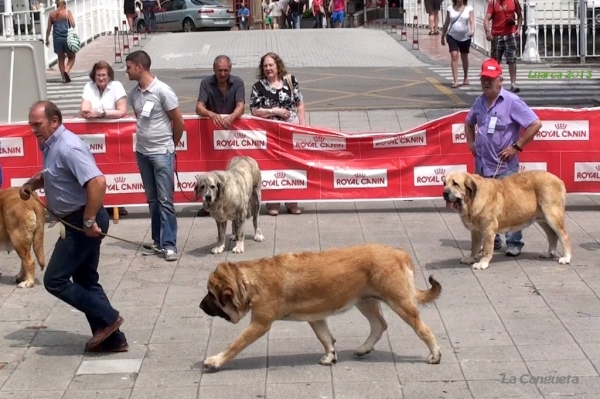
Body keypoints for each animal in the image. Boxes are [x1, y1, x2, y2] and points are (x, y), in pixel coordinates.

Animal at [199, 244, 442, 372]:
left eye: (211, 294)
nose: (200, 306)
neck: (249, 280)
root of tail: (400, 252)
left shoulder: (259, 324)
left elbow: (235, 345)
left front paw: (216, 360)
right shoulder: (315, 317)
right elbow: (325, 338)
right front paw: (330, 356)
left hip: (400, 304)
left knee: (423, 329)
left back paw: (435, 354)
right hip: (365, 301)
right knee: (379, 325)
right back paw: (364, 348)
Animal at [442, 170, 576, 270]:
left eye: (455, 184)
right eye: (444, 183)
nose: (444, 193)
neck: (471, 200)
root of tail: (558, 179)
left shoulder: (488, 230)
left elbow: (486, 249)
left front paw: (482, 263)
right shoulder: (475, 231)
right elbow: (474, 247)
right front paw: (471, 258)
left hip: (552, 215)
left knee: (564, 235)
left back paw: (566, 258)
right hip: (542, 219)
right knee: (552, 235)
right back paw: (549, 253)